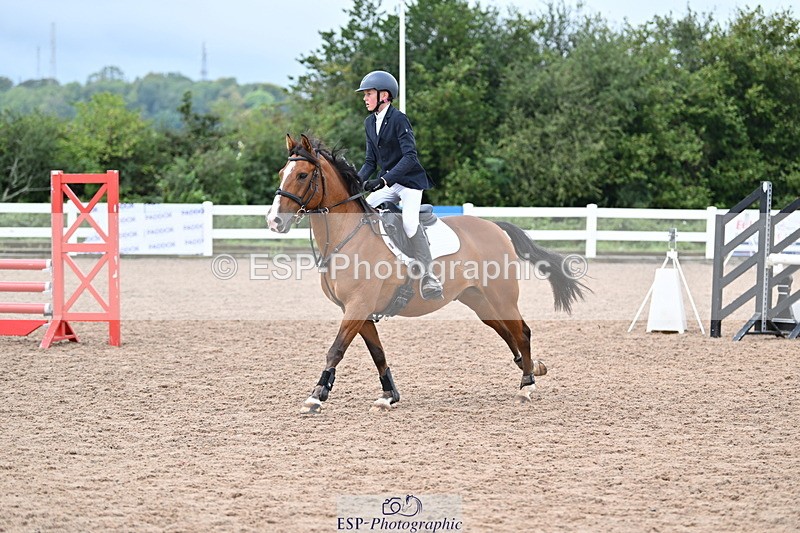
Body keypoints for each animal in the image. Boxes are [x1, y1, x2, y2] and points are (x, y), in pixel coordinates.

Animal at [267, 134, 587, 413]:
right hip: (477, 299)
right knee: (506, 331)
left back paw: (526, 387)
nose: (274, 221)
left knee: (522, 331)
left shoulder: (357, 306)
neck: (348, 236)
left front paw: (316, 396)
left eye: (302, 175)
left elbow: (336, 349)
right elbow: (377, 352)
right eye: (282, 172)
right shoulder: (359, 310)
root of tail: (494, 226)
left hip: (502, 295)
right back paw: (532, 368)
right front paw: (388, 396)